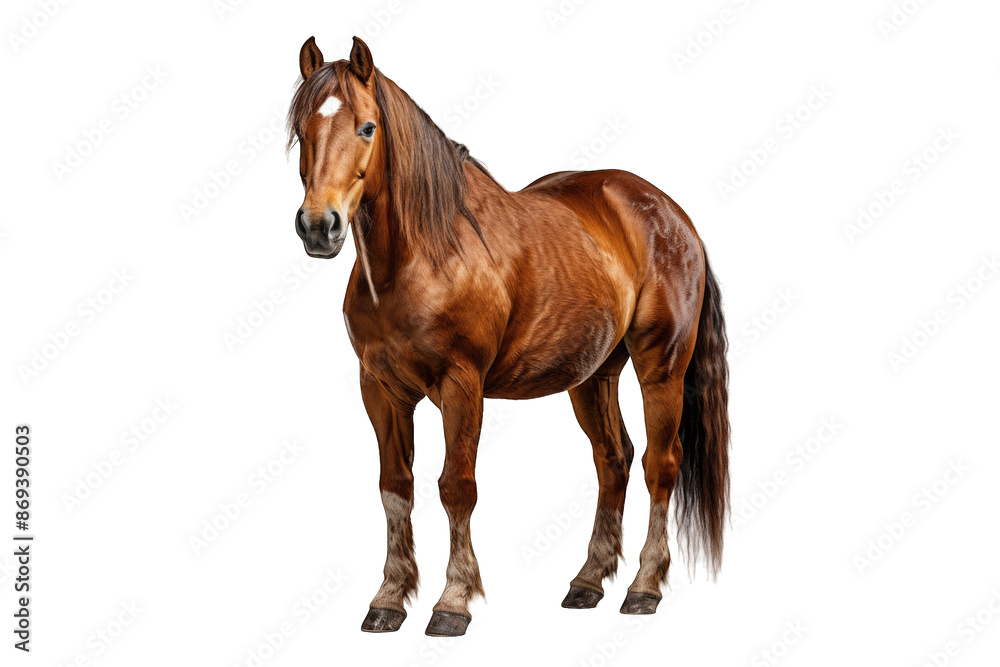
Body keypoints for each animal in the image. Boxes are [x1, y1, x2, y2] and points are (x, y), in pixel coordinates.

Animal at [286, 36, 730, 637]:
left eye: (368, 127)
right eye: (300, 128)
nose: (318, 226)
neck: (423, 253)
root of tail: (674, 217)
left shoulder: (461, 384)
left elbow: (456, 486)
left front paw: (452, 602)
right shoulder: (380, 389)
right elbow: (394, 488)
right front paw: (388, 598)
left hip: (660, 367)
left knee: (660, 465)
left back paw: (643, 587)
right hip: (594, 375)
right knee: (612, 460)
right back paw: (587, 581)